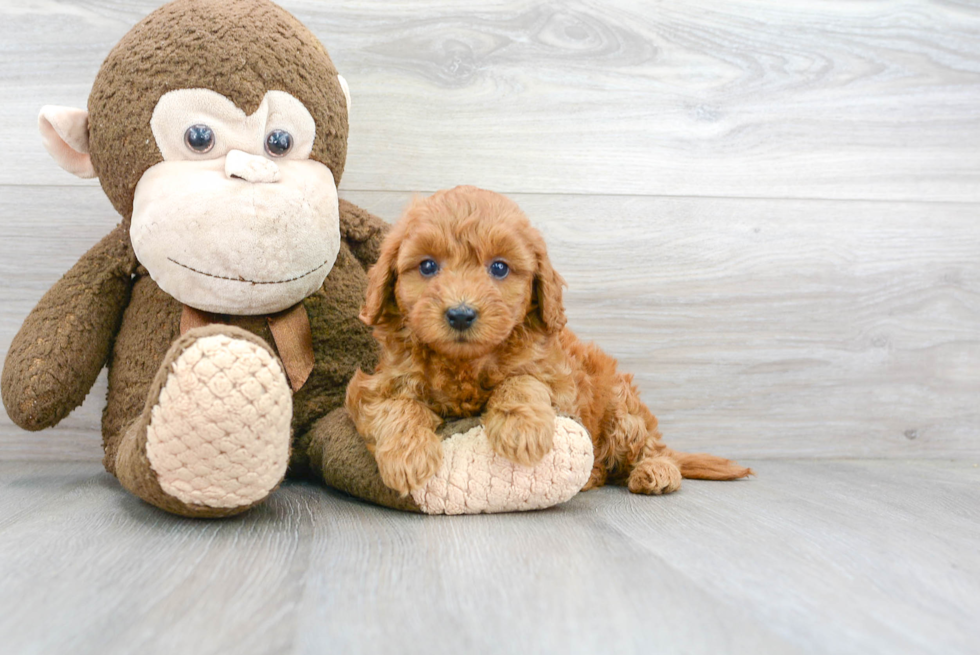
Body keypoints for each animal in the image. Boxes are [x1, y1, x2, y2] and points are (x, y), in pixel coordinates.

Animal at [344, 184, 752, 498]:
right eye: (427, 266)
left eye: (499, 267)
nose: (460, 314)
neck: (465, 364)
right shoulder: (376, 386)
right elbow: (398, 407)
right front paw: (407, 455)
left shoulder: (561, 385)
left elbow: (522, 380)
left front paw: (521, 429)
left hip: (623, 411)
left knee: (649, 447)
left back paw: (655, 471)